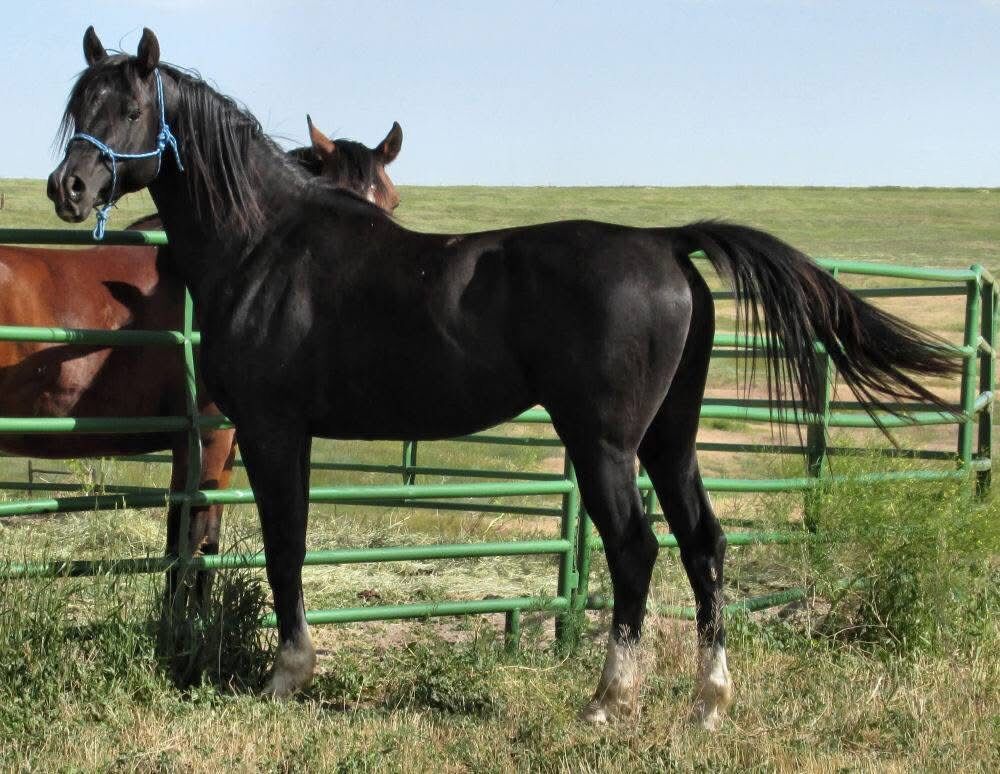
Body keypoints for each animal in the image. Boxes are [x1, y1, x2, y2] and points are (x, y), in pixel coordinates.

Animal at [47, 27, 957, 729]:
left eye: (129, 108)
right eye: (77, 107)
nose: (70, 186)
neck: (267, 242)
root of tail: (666, 245)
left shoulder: (273, 431)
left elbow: (284, 548)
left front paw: (286, 675)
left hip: (603, 443)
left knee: (635, 550)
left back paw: (608, 700)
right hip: (671, 440)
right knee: (704, 544)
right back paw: (706, 703)